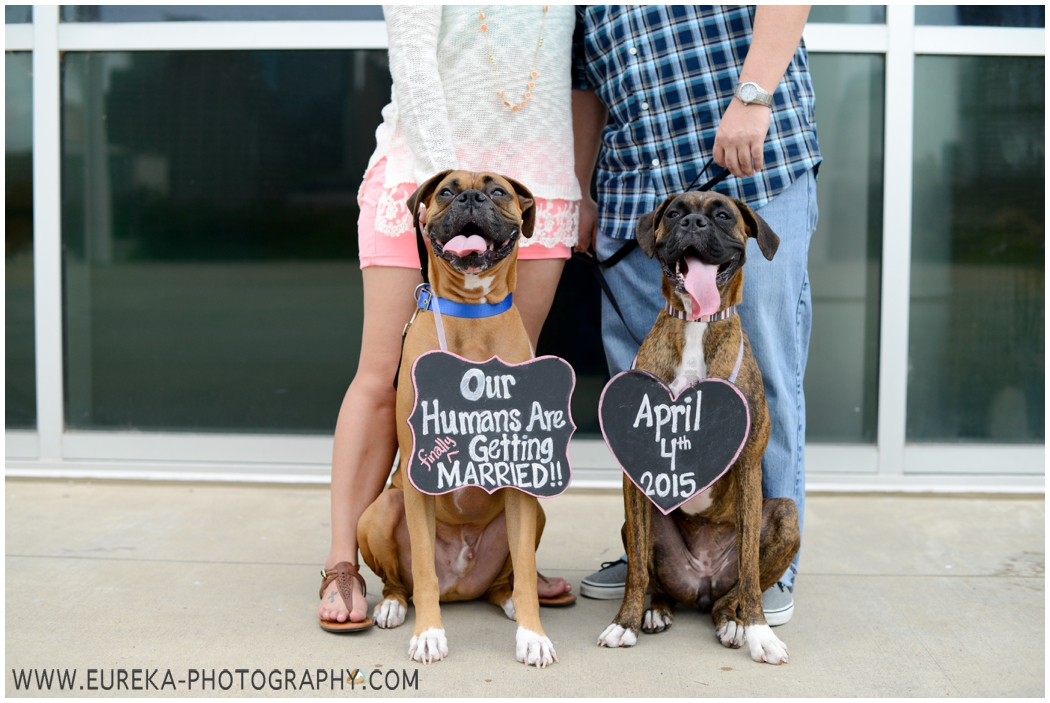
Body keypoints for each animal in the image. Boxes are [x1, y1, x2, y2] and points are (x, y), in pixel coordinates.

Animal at [359, 167, 575, 667]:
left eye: (497, 191)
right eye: (445, 192)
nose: (472, 199)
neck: (473, 316)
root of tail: (459, 588)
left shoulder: (521, 470)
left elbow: (528, 572)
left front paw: (533, 637)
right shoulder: (420, 474)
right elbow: (422, 566)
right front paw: (428, 635)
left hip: (533, 513)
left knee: (508, 578)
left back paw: (510, 601)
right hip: (379, 511)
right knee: (403, 581)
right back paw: (394, 606)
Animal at [600, 190, 802, 667]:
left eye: (724, 216)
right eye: (673, 213)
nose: (692, 223)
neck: (695, 326)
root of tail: (702, 585)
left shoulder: (747, 466)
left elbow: (749, 571)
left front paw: (761, 635)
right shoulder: (634, 477)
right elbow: (636, 570)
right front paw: (625, 622)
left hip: (786, 513)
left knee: (737, 592)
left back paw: (735, 622)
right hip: (639, 522)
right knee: (656, 578)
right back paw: (655, 610)